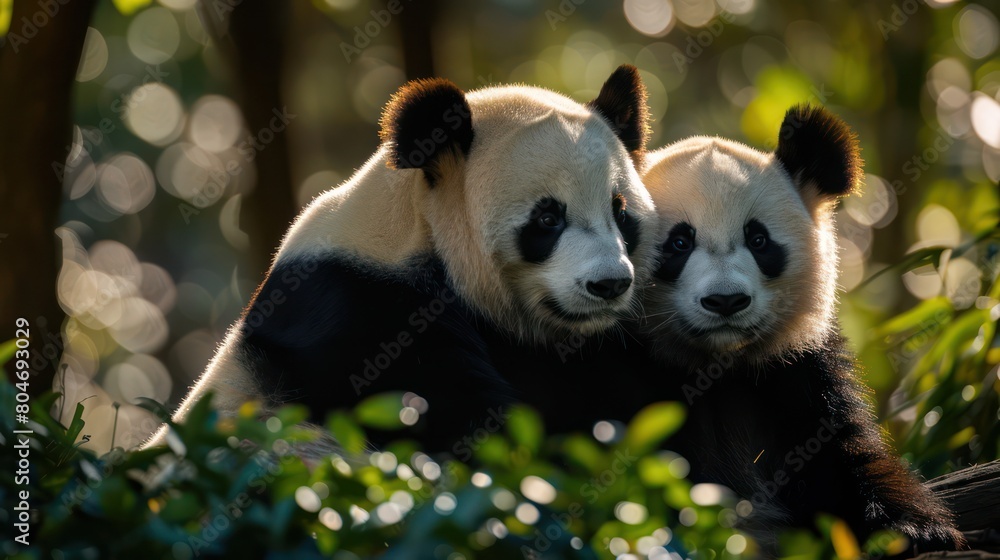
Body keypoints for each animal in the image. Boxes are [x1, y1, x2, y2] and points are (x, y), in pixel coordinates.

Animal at [145, 65, 658, 453]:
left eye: (621, 213)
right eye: (548, 218)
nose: (609, 284)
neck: (419, 229)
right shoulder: (360, 310)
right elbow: (458, 422)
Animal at [638, 105, 965, 553]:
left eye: (759, 240)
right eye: (679, 243)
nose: (726, 301)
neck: (720, 364)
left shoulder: (797, 368)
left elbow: (837, 453)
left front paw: (914, 530)